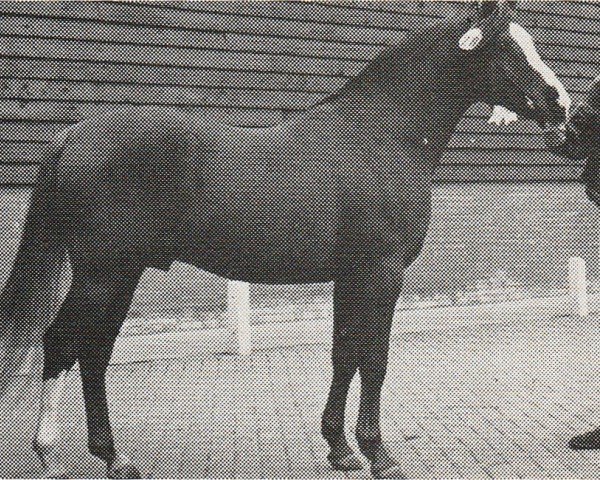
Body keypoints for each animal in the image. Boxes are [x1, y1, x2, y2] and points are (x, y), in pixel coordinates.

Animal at [0, 1, 568, 478]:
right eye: (508, 47)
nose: (560, 105)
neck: (383, 134)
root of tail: (73, 136)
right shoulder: (381, 274)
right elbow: (375, 360)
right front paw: (378, 455)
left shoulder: (351, 277)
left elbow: (345, 354)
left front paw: (340, 449)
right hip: (104, 274)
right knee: (64, 343)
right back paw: (61, 454)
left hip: (122, 274)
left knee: (90, 352)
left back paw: (103, 456)